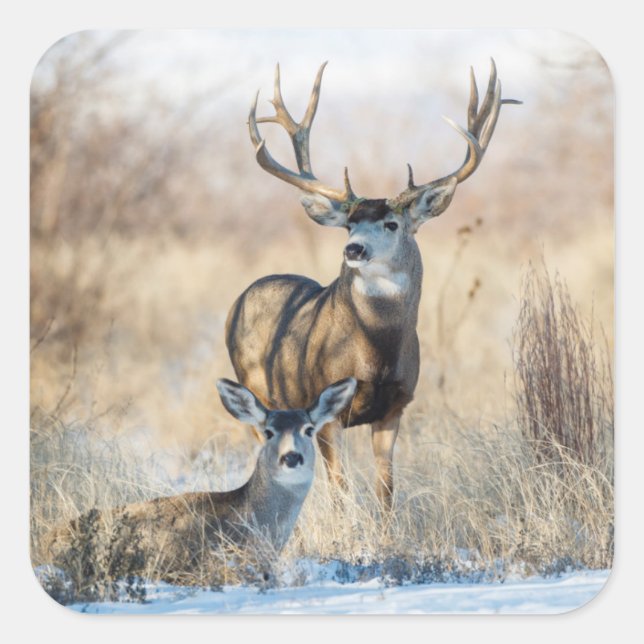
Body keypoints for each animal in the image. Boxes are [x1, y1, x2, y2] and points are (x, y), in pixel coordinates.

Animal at [226, 60, 520, 511]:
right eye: (349, 223)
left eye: (391, 223)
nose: (354, 249)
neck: (375, 353)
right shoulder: (326, 409)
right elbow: (341, 490)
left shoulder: (395, 406)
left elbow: (386, 490)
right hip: (258, 392)